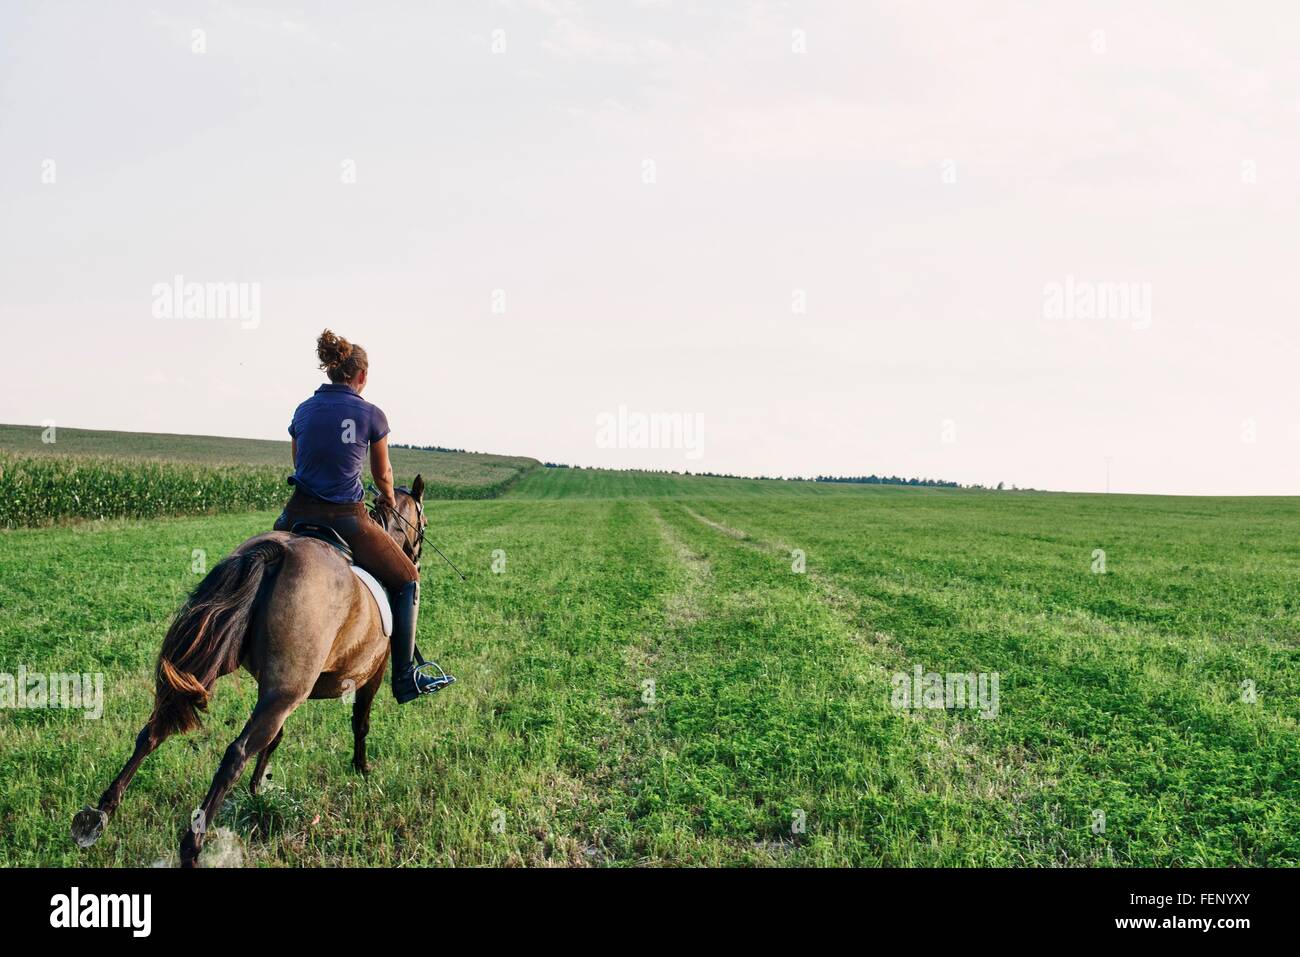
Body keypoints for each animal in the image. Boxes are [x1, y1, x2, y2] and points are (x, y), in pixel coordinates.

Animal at [71, 477, 429, 867]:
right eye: (423, 522)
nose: (417, 557)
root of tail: (277, 552)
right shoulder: (369, 674)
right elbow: (360, 723)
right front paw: (362, 768)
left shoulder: (280, 689)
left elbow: (277, 737)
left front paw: (259, 789)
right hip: (284, 689)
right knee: (235, 753)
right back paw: (192, 847)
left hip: (234, 667)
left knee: (155, 728)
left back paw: (102, 813)